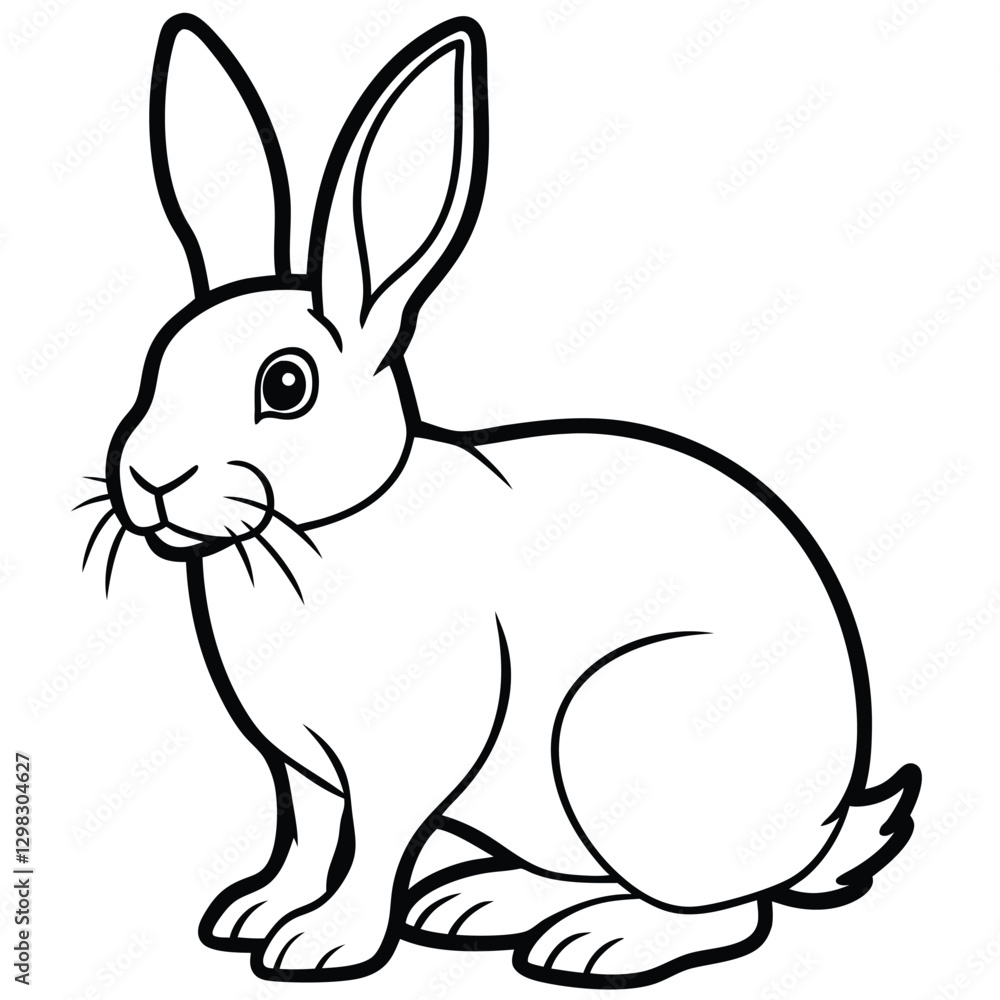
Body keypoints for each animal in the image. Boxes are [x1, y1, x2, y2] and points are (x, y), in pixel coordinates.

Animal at [86, 12, 921, 988]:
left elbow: (372, 846)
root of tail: (821, 826)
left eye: (285, 386)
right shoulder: (302, 768)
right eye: (159, 358)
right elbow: (307, 837)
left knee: (729, 912)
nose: (148, 481)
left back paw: (595, 942)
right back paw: (479, 905)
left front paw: (320, 943)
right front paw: (251, 913)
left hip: (614, 739)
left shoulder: (404, 756)